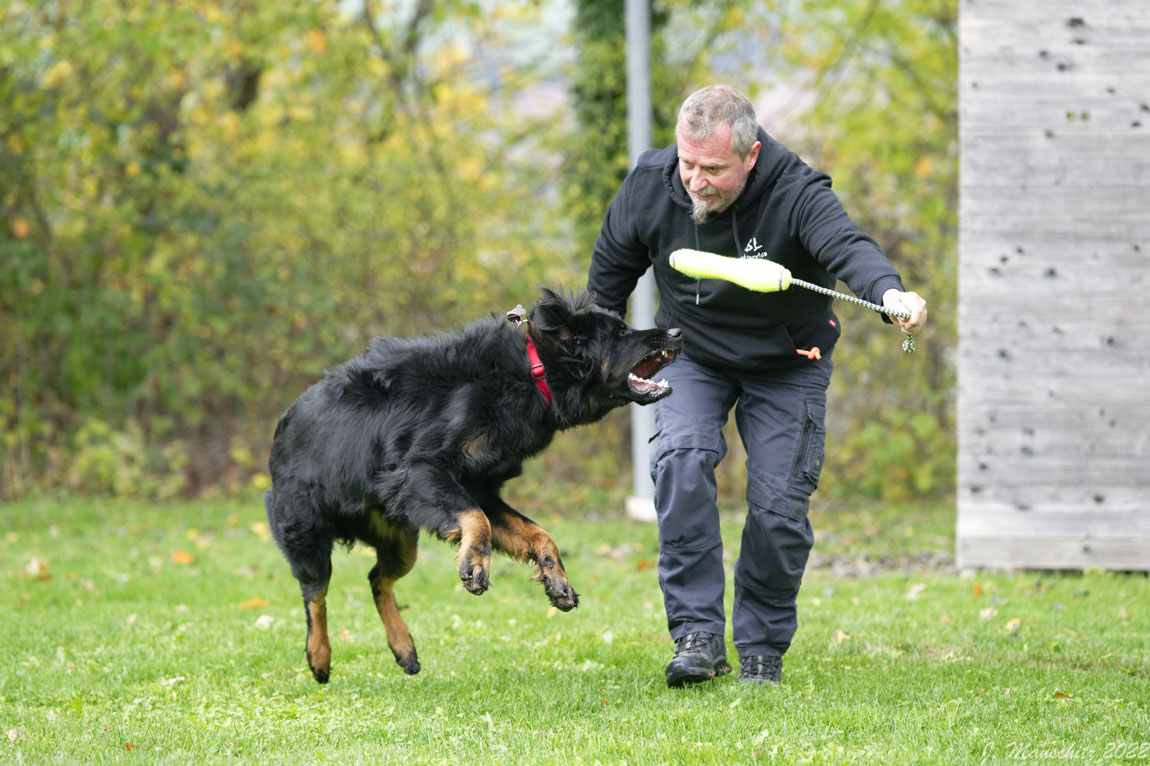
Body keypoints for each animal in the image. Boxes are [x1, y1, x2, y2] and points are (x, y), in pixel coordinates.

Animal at [266, 287, 680, 680]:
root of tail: (282, 426)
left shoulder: (481, 489)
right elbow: (475, 519)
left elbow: (538, 534)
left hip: (401, 542)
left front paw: (556, 580)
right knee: (315, 595)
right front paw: (475, 564)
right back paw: (319, 656)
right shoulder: (423, 470)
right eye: (622, 333)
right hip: (307, 537)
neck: (533, 373)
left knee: (377, 579)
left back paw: (403, 646)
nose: (677, 332)